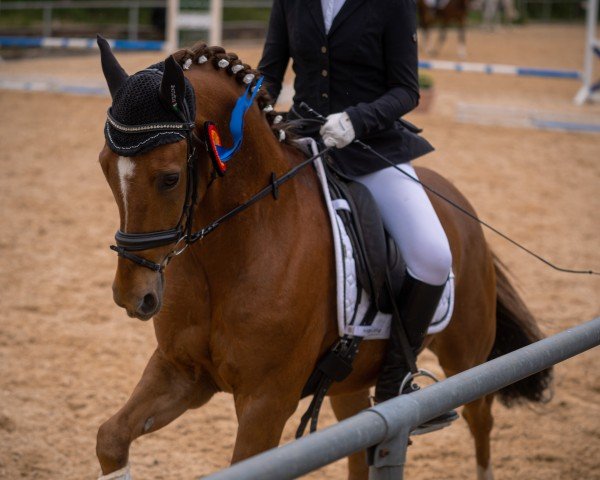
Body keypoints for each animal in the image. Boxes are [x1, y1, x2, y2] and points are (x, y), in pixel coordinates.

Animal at [96, 41, 552, 480]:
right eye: (104, 166)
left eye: (170, 177)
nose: (131, 296)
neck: (234, 255)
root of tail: (460, 204)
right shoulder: (181, 372)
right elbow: (110, 438)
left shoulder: (267, 401)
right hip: (351, 383)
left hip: (466, 359)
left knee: (481, 421)